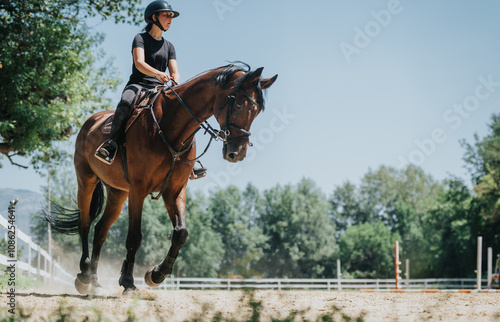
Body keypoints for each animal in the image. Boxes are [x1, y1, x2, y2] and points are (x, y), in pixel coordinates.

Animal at [47, 63, 278, 294]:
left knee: (101, 230)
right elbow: (134, 236)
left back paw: (95, 281)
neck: (170, 127)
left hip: (117, 193)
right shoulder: (138, 189)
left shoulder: (174, 190)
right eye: (238, 105)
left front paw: (155, 274)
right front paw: (128, 281)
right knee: (85, 223)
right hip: (86, 181)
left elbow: (181, 233)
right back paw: (84, 276)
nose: (237, 153)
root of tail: (91, 121)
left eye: (257, 111)